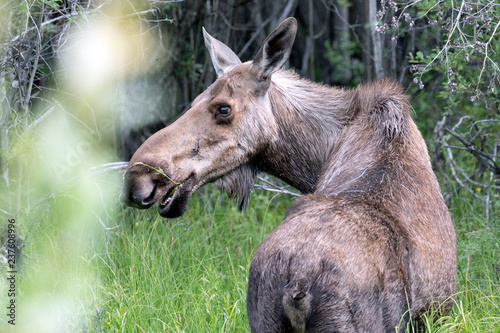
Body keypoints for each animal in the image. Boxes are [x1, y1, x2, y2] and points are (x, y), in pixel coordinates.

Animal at [125, 17, 458, 332]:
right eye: (194, 102)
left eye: (223, 108)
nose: (139, 177)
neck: (317, 161)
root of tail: (298, 285)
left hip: (263, 320)